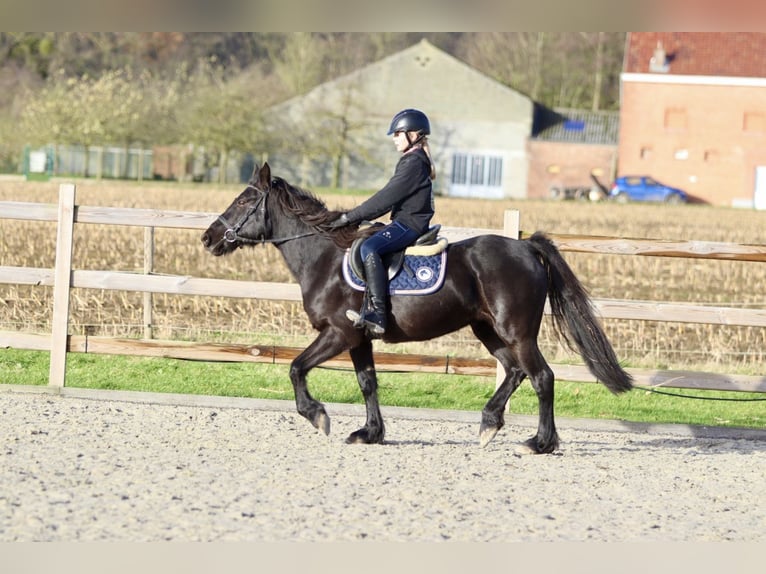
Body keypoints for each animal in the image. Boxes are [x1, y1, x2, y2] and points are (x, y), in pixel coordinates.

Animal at [201, 163, 632, 454]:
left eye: (244, 200)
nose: (208, 238)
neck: (324, 257)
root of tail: (525, 247)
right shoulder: (359, 338)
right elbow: (368, 383)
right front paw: (370, 433)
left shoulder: (338, 333)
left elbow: (296, 368)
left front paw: (317, 415)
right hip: (488, 330)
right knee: (515, 372)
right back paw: (489, 424)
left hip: (517, 331)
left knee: (542, 377)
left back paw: (539, 442)